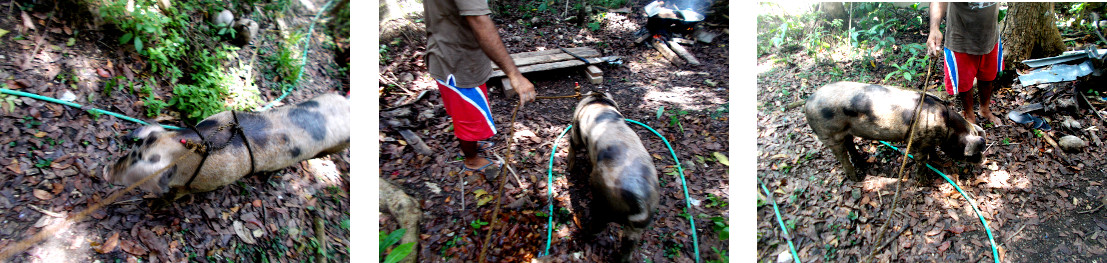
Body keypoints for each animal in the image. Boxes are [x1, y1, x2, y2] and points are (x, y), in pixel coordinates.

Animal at [571, 91, 655, 261]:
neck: (599, 100)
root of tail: (641, 204)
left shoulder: (575, 129)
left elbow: (572, 146)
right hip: (635, 230)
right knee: (628, 247)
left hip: (603, 206)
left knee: (596, 226)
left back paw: (582, 230)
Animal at [805, 81, 987, 182]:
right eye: (972, 152)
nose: (983, 160)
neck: (948, 127)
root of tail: (808, 102)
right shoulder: (917, 143)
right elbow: (921, 161)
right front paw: (925, 182)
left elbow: (933, 153)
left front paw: (939, 161)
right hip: (829, 134)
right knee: (842, 156)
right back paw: (857, 178)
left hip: (845, 131)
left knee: (850, 144)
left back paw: (862, 161)